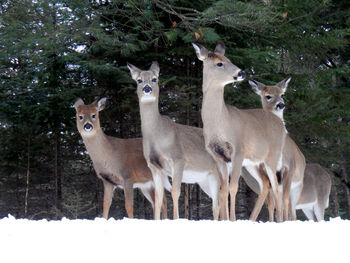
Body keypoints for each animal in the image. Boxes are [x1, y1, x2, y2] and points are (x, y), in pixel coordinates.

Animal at [129, 61, 224, 221]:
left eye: (155, 79)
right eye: (139, 80)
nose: (147, 88)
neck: (158, 135)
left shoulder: (178, 159)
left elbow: (175, 192)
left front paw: (176, 218)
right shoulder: (154, 166)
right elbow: (159, 198)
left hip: (216, 174)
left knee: (218, 203)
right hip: (204, 180)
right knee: (218, 201)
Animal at [191, 41, 288, 223]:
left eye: (229, 59)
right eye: (219, 63)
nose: (241, 72)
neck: (220, 123)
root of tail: (279, 122)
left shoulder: (238, 149)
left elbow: (233, 187)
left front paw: (233, 219)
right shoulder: (218, 156)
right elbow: (223, 189)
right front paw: (224, 220)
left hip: (272, 156)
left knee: (276, 186)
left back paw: (279, 220)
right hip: (253, 163)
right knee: (265, 184)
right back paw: (253, 219)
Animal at [247, 77, 304, 222]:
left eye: (282, 94)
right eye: (268, 96)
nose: (281, 105)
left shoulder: (289, 167)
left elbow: (283, 201)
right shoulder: (265, 168)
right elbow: (271, 202)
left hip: (297, 186)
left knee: (291, 208)